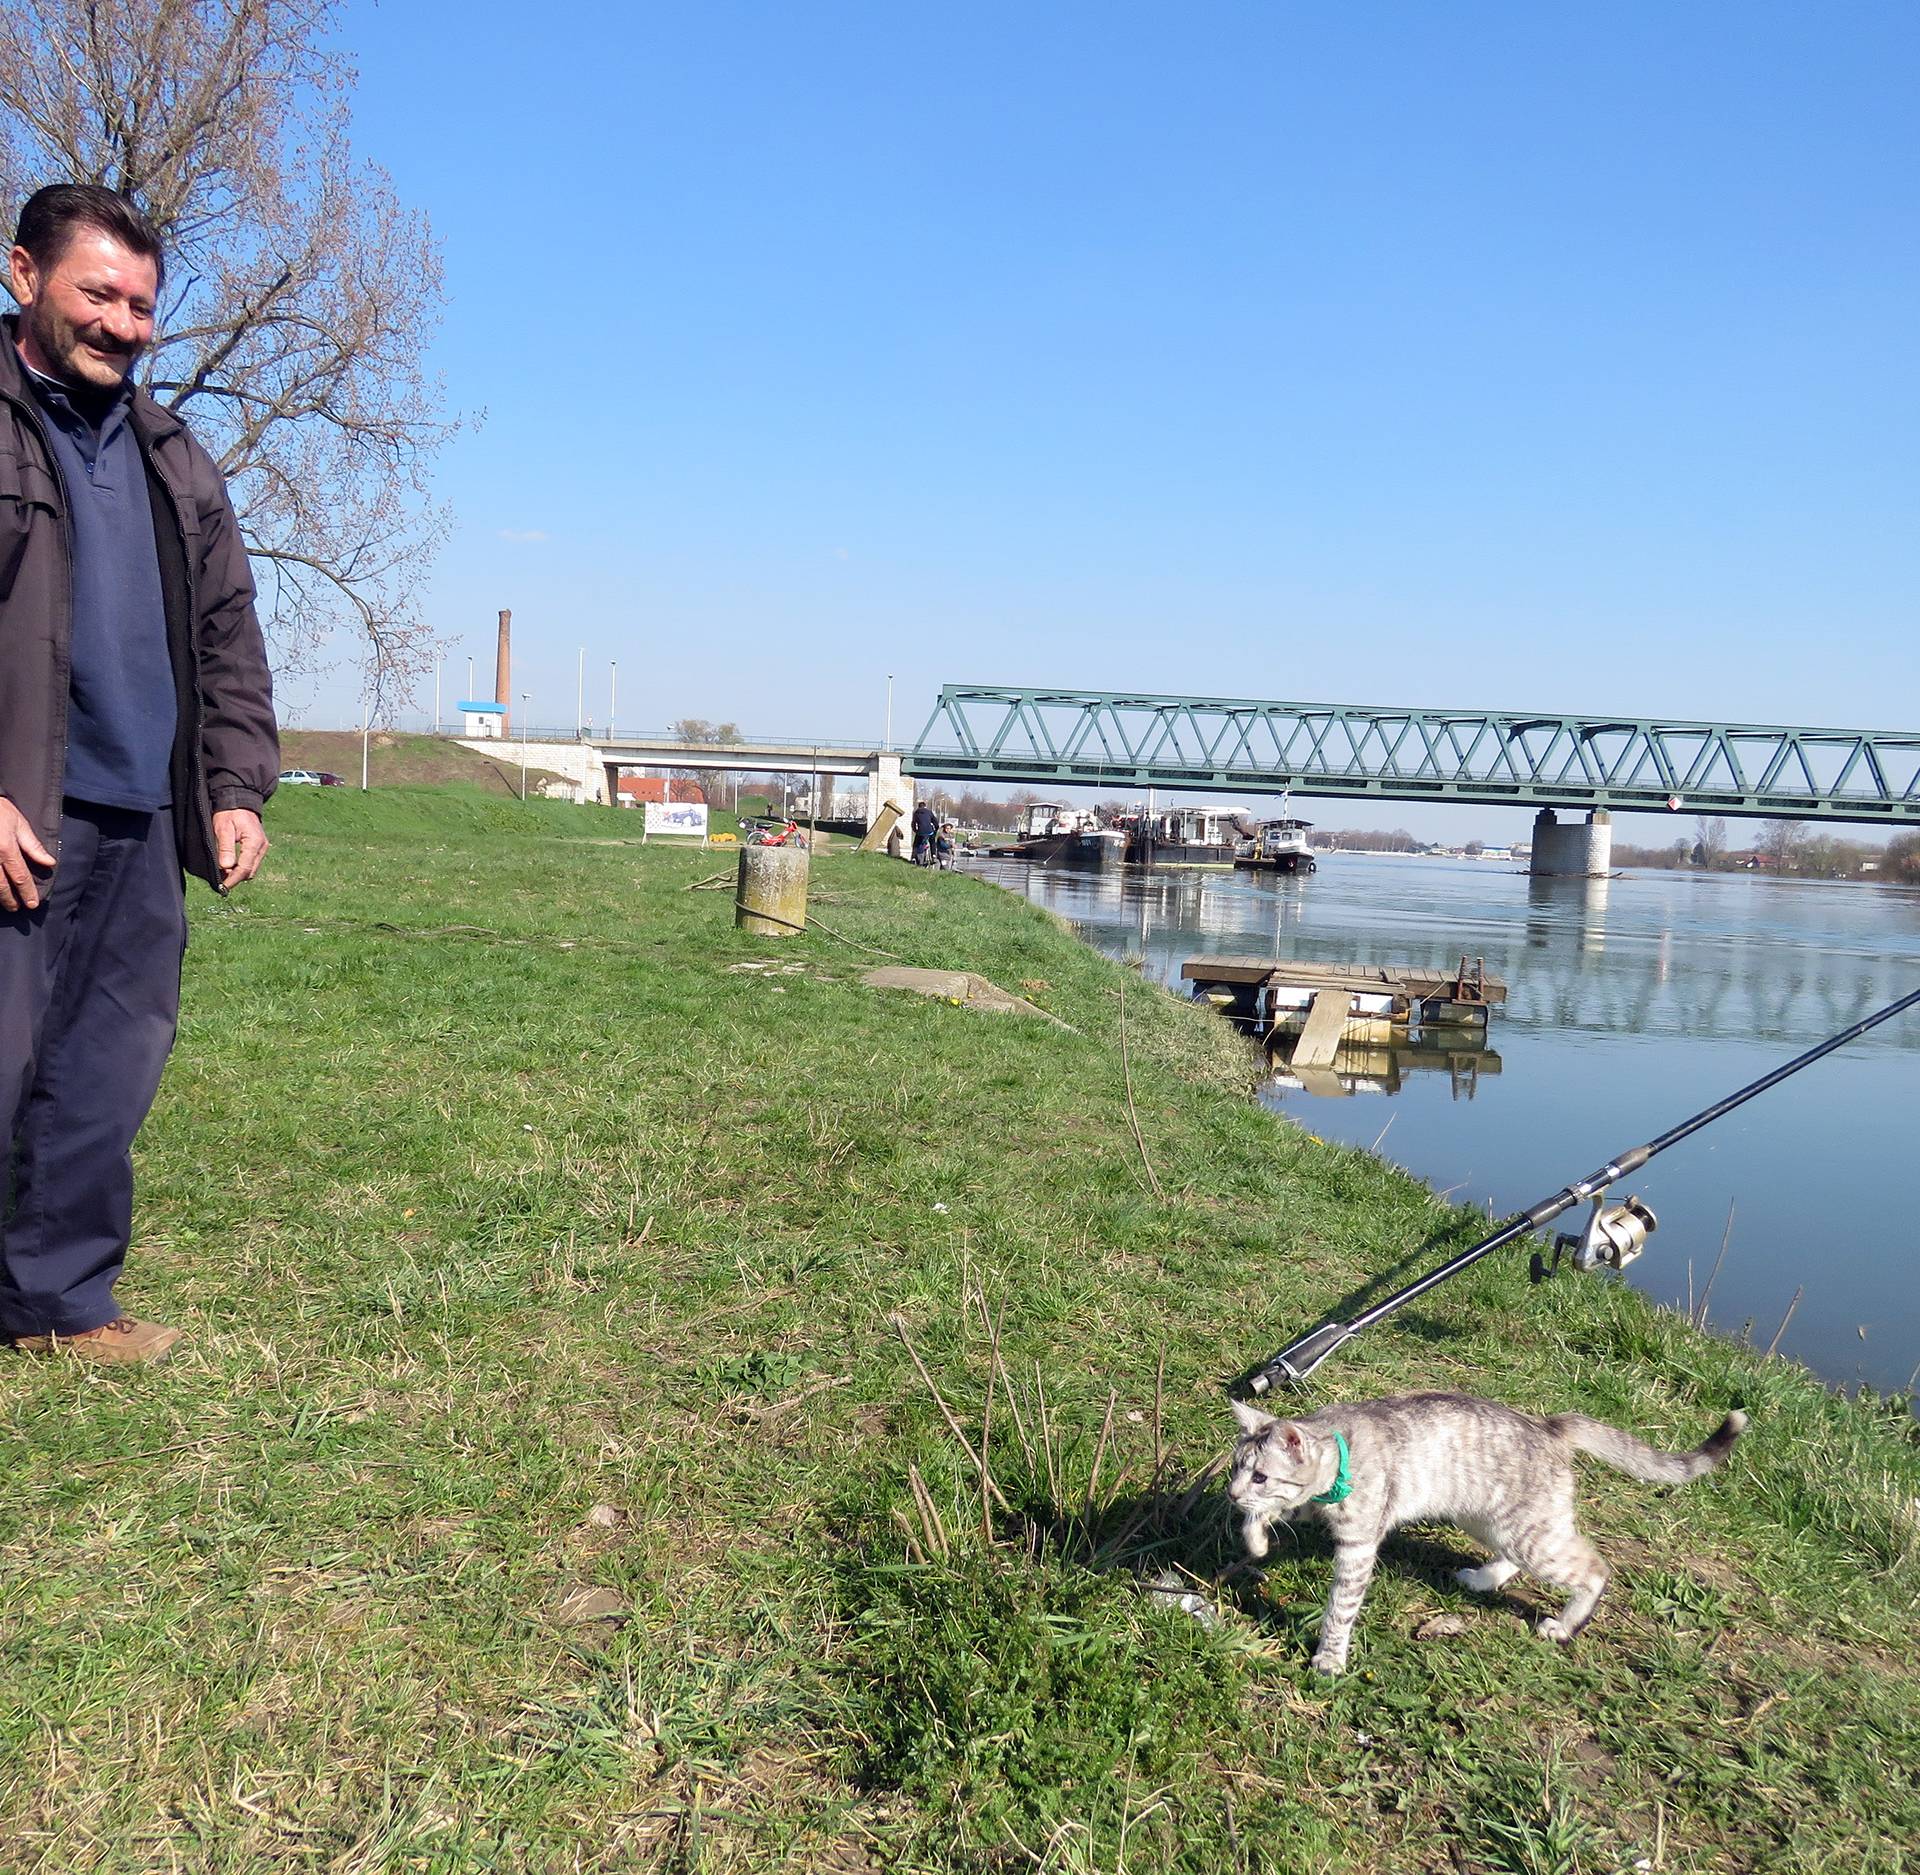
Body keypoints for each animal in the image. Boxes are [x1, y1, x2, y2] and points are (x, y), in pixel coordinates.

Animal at [1221, 1381, 1751, 1673]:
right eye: (1235, 1468)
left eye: (1261, 1474)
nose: (1229, 1492)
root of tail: (1550, 1427)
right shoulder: (1307, 1504)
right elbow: (1267, 1516)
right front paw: (1256, 1538)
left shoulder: (1358, 1543)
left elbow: (1340, 1610)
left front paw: (1330, 1657)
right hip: (1488, 1521)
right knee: (1513, 1559)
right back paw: (1482, 1578)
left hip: (1529, 1533)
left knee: (1594, 1568)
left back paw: (1564, 1625)